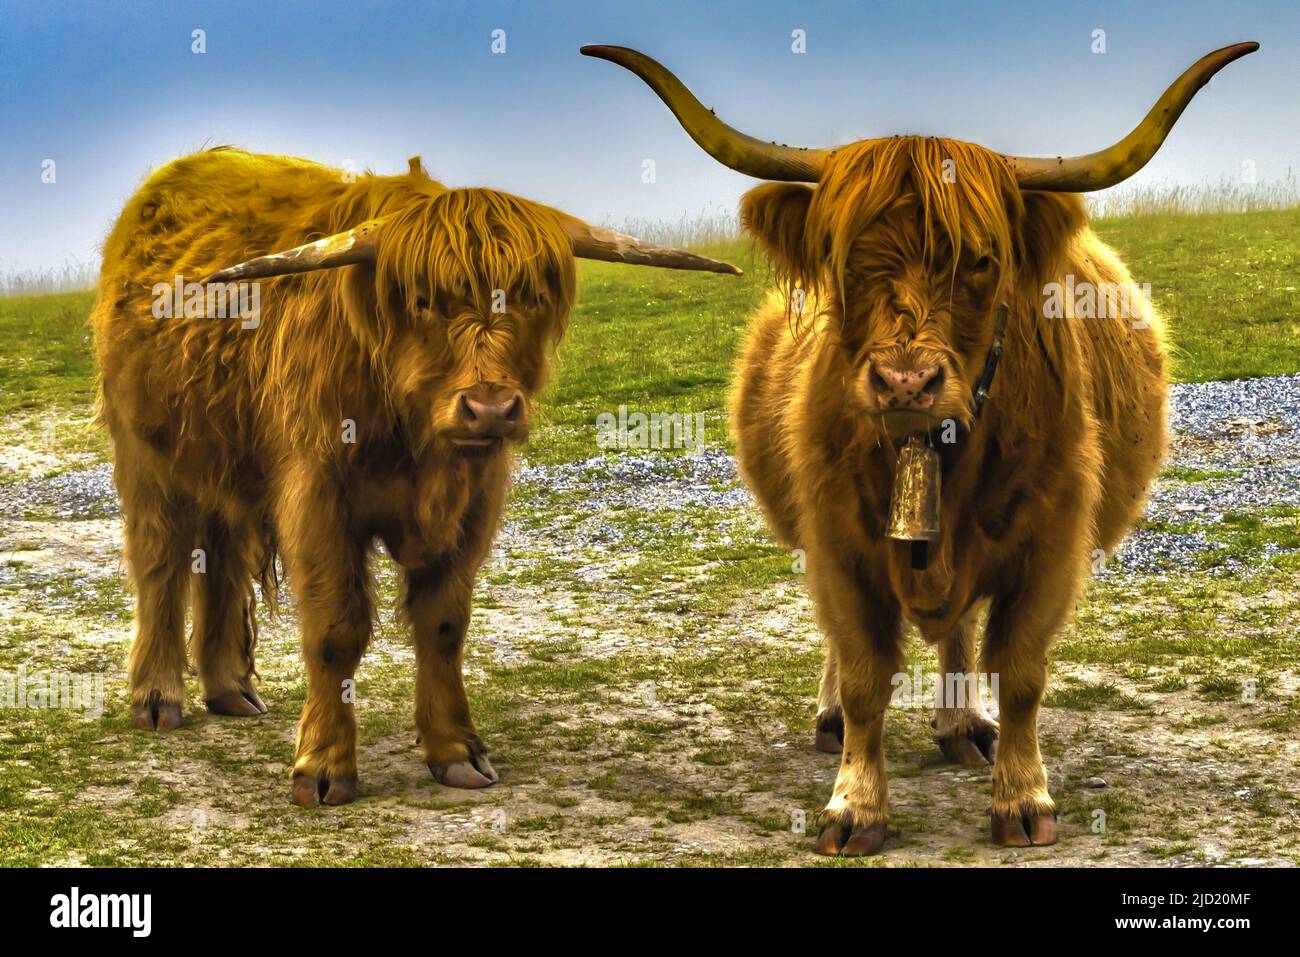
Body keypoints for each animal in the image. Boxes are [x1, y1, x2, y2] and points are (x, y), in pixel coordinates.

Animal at [94, 149, 743, 806]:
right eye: (425, 301)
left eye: (532, 297)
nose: (490, 408)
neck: (417, 439)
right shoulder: (317, 497)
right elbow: (335, 630)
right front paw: (323, 766)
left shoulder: (474, 504)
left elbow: (443, 625)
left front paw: (456, 751)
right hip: (144, 458)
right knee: (160, 564)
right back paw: (157, 698)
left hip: (224, 465)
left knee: (220, 560)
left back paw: (230, 689)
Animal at [592, 41, 1258, 858]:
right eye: (845, 256)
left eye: (980, 260)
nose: (905, 381)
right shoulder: (836, 540)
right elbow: (862, 670)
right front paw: (853, 805)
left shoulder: (1052, 540)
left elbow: (1022, 669)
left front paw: (1023, 798)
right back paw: (840, 721)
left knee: (961, 628)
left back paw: (962, 724)